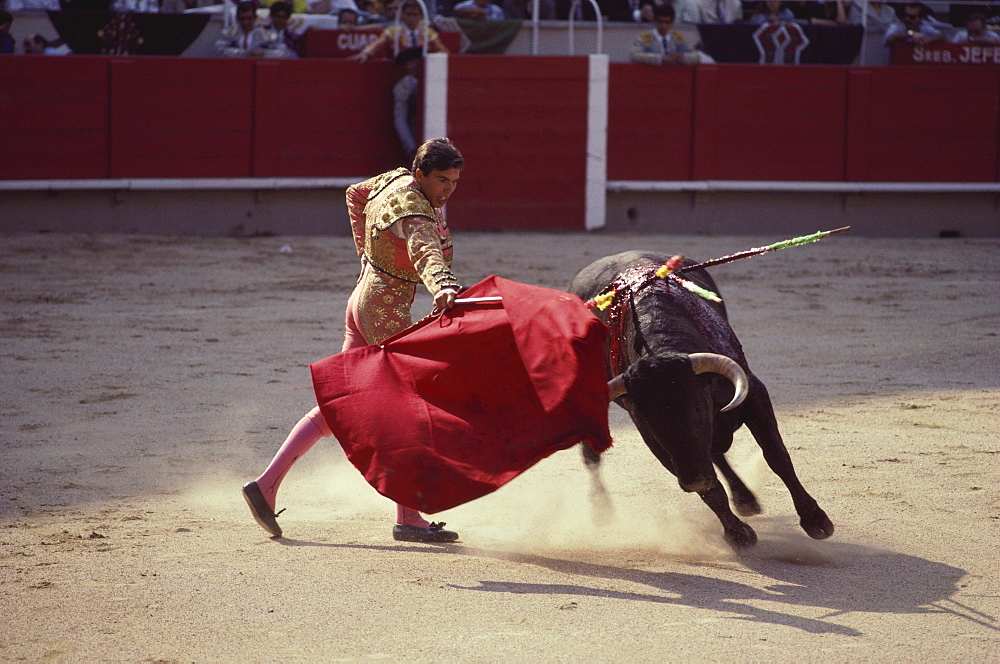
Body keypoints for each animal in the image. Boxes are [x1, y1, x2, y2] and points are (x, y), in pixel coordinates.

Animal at [572, 252, 836, 548]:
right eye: (651, 422)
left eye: (698, 406)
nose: (694, 480)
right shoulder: (655, 441)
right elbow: (711, 489)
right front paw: (737, 534)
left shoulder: (754, 394)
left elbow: (777, 456)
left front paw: (815, 521)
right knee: (593, 457)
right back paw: (601, 510)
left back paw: (746, 498)